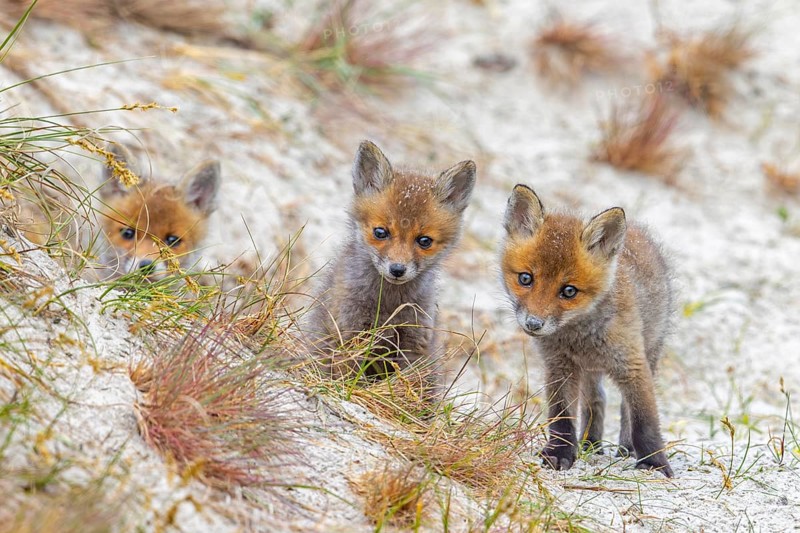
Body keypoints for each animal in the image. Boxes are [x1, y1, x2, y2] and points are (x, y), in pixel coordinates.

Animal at [307, 140, 476, 375]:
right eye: (380, 232)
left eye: (424, 241)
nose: (397, 269)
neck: (388, 305)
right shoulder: (348, 330)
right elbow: (345, 373)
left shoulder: (414, 341)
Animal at [501, 184, 674, 477]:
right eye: (525, 278)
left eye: (569, 291)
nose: (533, 324)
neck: (579, 337)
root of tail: (638, 230)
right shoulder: (559, 366)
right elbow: (562, 418)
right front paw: (560, 453)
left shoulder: (632, 364)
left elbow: (645, 421)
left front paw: (654, 462)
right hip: (590, 372)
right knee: (597, 401)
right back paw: (591, 443)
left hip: (649, 352)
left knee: (625, 409)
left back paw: (625, 448)